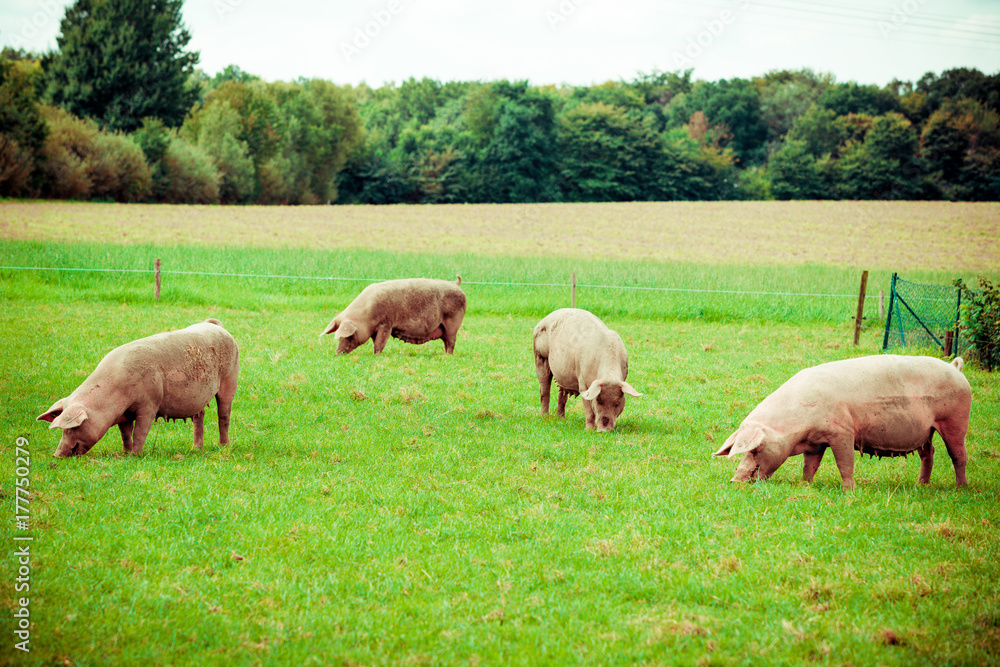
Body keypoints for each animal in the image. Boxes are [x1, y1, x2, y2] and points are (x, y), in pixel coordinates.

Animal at [36, 320, 240, 460]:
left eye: (74, 427)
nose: (56, 455)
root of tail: (215, 325)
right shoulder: (123, 415)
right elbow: (125, 433)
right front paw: (125, 452)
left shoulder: (149, 404)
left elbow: (140, 431)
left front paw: (135, 456)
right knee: (200, 417)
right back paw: (195, 449)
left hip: (230, 379)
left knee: (224, 415)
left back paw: (223, 446)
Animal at [320, 276, 468, 354]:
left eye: (349, 335)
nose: (338, 353)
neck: (366, 316)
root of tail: (456, 284)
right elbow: (375, 341)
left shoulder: (386, 323)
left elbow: (380, 342)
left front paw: (376, 355)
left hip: (452, 322)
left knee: (451, 341)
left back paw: (447, 356)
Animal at [716, 354, 972, 490]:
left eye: (755, 449)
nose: (734, 480)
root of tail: (955, 368)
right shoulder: (816, 441)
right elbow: (810, 464)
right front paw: (805, 485)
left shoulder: (842, 432)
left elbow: (845, 462)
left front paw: (848, 490)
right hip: (927, 431)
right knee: (929, 452)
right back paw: (921, 485)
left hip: (954, 420)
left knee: (958, 454)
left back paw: (960, 488)